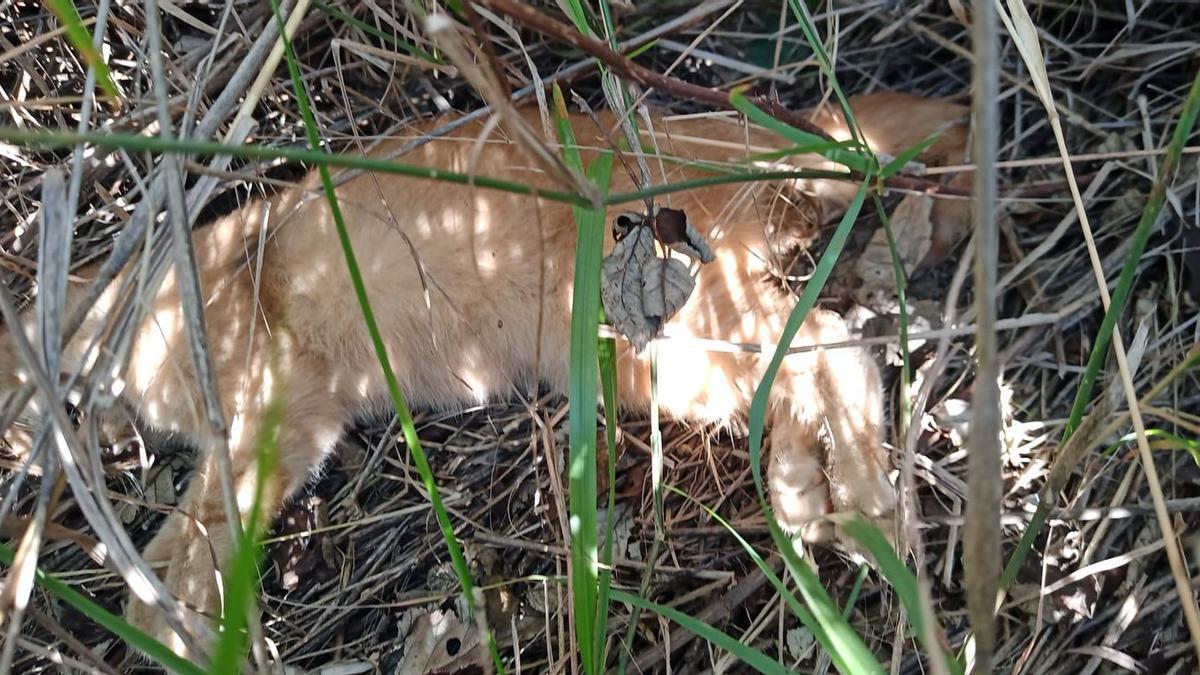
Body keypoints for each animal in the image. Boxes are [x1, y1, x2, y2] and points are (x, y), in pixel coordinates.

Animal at [0, 90, 969, 658]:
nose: (27, 459)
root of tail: (722, 125)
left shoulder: (263, 407)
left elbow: (178, 554)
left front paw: (189, 636)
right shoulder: (298, 423)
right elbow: (187, 548)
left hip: (677, 323)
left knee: (841, 347)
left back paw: (869, 510)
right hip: (661, 361)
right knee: (810, 363)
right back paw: (807, 492)